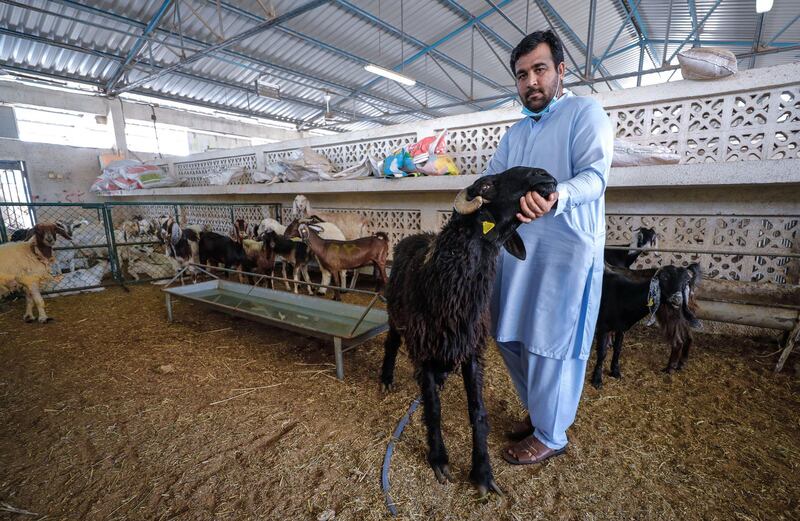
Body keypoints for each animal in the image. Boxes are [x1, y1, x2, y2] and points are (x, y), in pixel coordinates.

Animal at [380, 167, 556, 496]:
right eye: (486, 186)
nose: (544, 175)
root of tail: (415, 235)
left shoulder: (472, 351)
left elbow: (477, 412)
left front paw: (483, 473)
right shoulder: (424, 350)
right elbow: (433, 409)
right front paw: (439, 460)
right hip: (396, 316)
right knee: (392, 343)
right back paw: (385, 379)